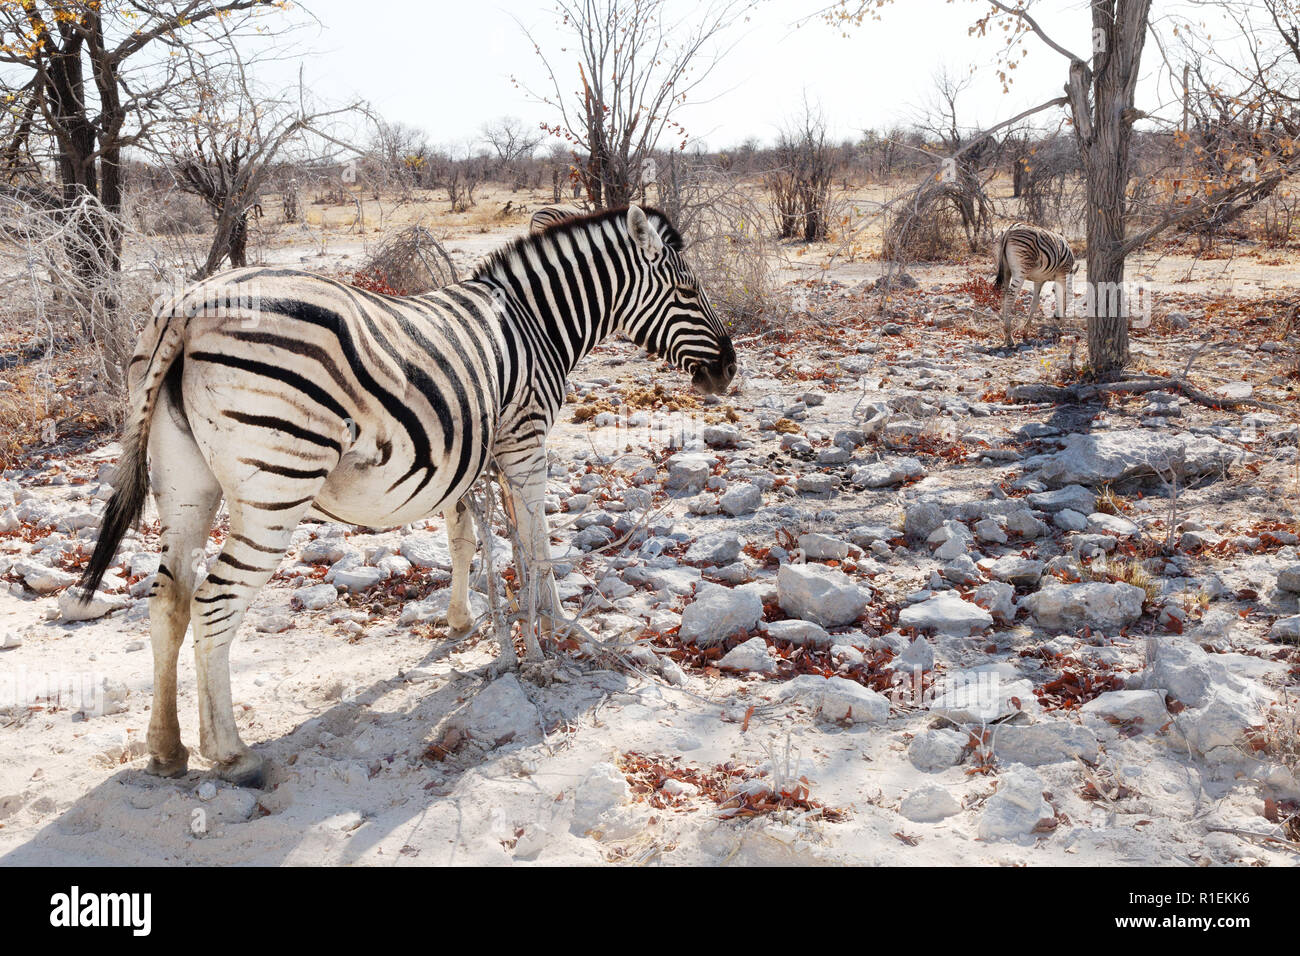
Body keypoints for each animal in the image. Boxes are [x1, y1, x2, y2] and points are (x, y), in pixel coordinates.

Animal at [77, 204, 736, 787]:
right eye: (689, 289)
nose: (729, 369)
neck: (536, 325)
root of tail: (186, 306)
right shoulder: (525, 444)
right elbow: (536, 543)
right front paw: (555, 627)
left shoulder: (469, 457)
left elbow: (466, 538)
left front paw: (464, 623)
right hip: (277, 484)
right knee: (215, 601)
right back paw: (232, 756)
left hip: (185, 483)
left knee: (169, 601)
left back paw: (166, 750)